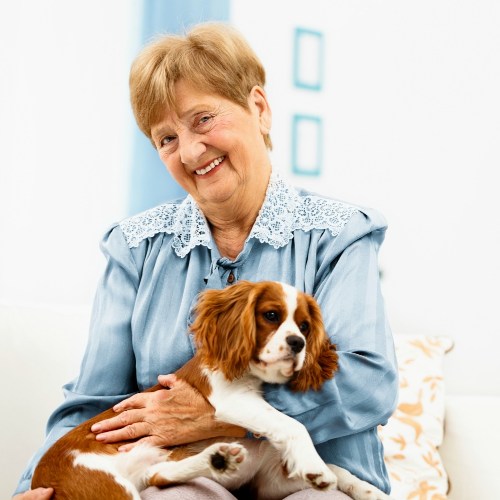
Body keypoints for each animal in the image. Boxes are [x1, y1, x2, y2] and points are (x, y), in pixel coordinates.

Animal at [32, 282, 390, 500]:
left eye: (304, 326)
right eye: (271, 315)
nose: (298, 343)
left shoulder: (269, 481)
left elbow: (338, 469)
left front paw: (364, 488)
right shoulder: (231, 399)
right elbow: (293, 424)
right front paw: (315, 465)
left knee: (160, 473)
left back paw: (217, 459)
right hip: (105, 487)